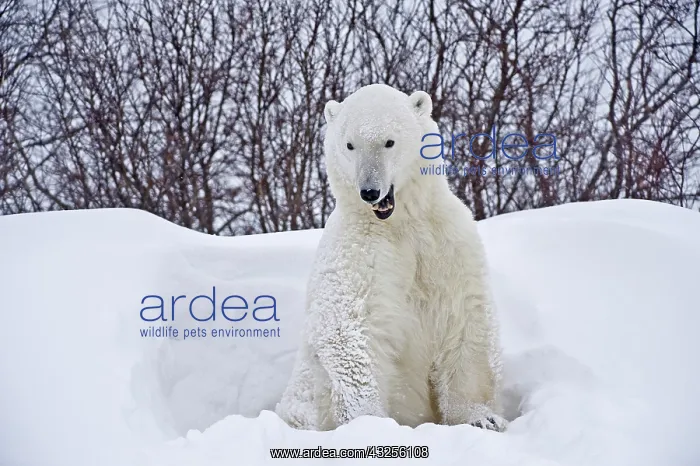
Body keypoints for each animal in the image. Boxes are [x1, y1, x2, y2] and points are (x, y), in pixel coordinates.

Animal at [275, 83, 506, 432]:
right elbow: (348, 326)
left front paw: (482, 418)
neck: (399, 222)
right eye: (350, 144)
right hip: (305, 396)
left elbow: (464, 316)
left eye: (389, 141)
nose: (370, 192)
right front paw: (370, 423)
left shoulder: (447, 241)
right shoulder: (360, 253)